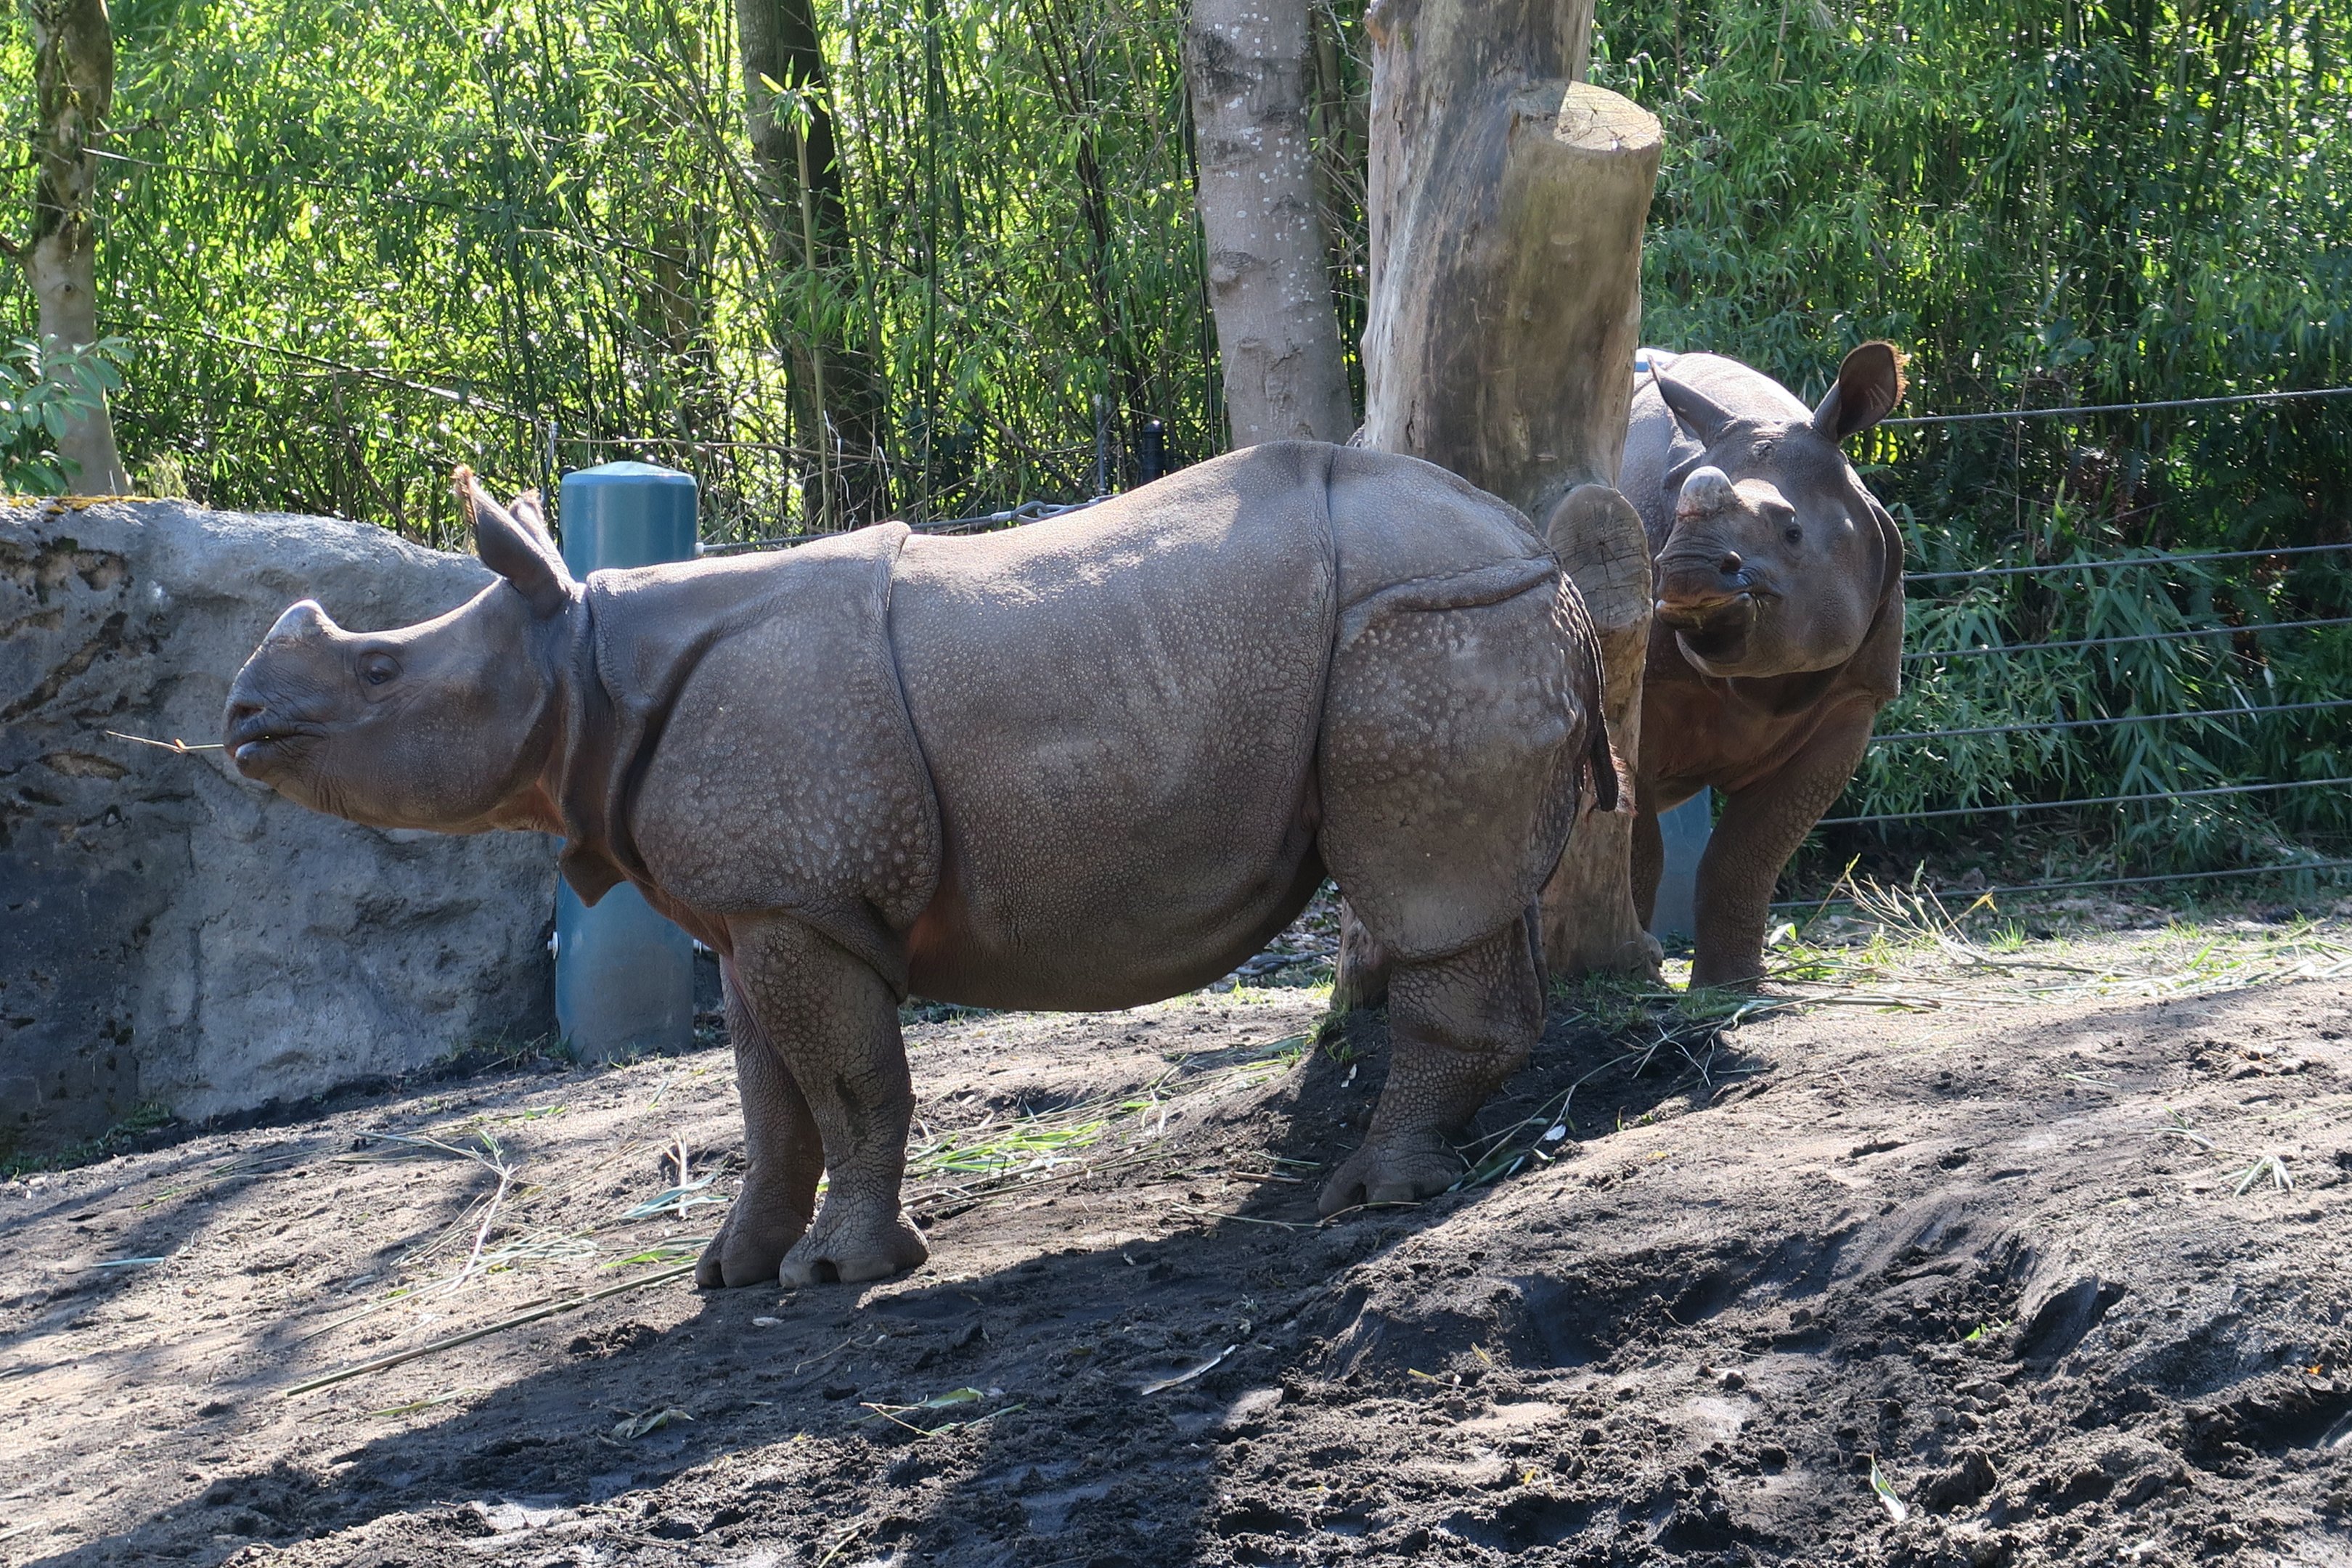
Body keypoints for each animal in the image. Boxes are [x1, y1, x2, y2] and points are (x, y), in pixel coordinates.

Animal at [224, 441, 1610, 1287]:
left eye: (379, 670)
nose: (239, 717)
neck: (582, 658)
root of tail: (1542, 548)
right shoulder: (759, 904)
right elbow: (768, 1103)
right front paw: (729, 1274)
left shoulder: (802, 898)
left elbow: (847, 1088)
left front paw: (841, 1274)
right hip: (1449, 623)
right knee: (1475, 893)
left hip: (1425, 623)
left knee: (1425, 891)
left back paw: (1372, 1199)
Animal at [1624, 343, 1907, 987]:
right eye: (1667, 536)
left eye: (1793, 532)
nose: (1684, 572)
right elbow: (1640, 844)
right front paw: (1643, 977)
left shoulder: (1854, 697)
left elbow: (1747, 856)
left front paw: (1731, 989)